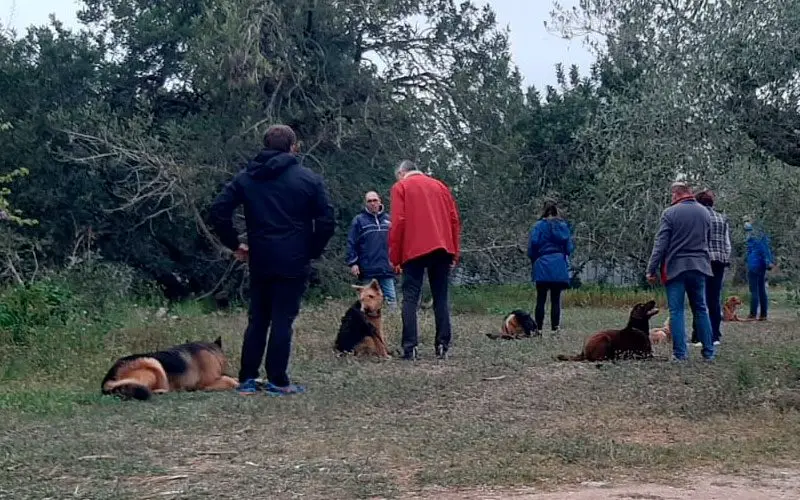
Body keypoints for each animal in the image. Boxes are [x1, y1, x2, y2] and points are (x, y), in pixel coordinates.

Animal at [100, 336, 239, 402]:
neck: (211, 351)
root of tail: (107, 381)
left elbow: (232, 378)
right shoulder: (206, 384)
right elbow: (230, 380)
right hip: (153, 363)